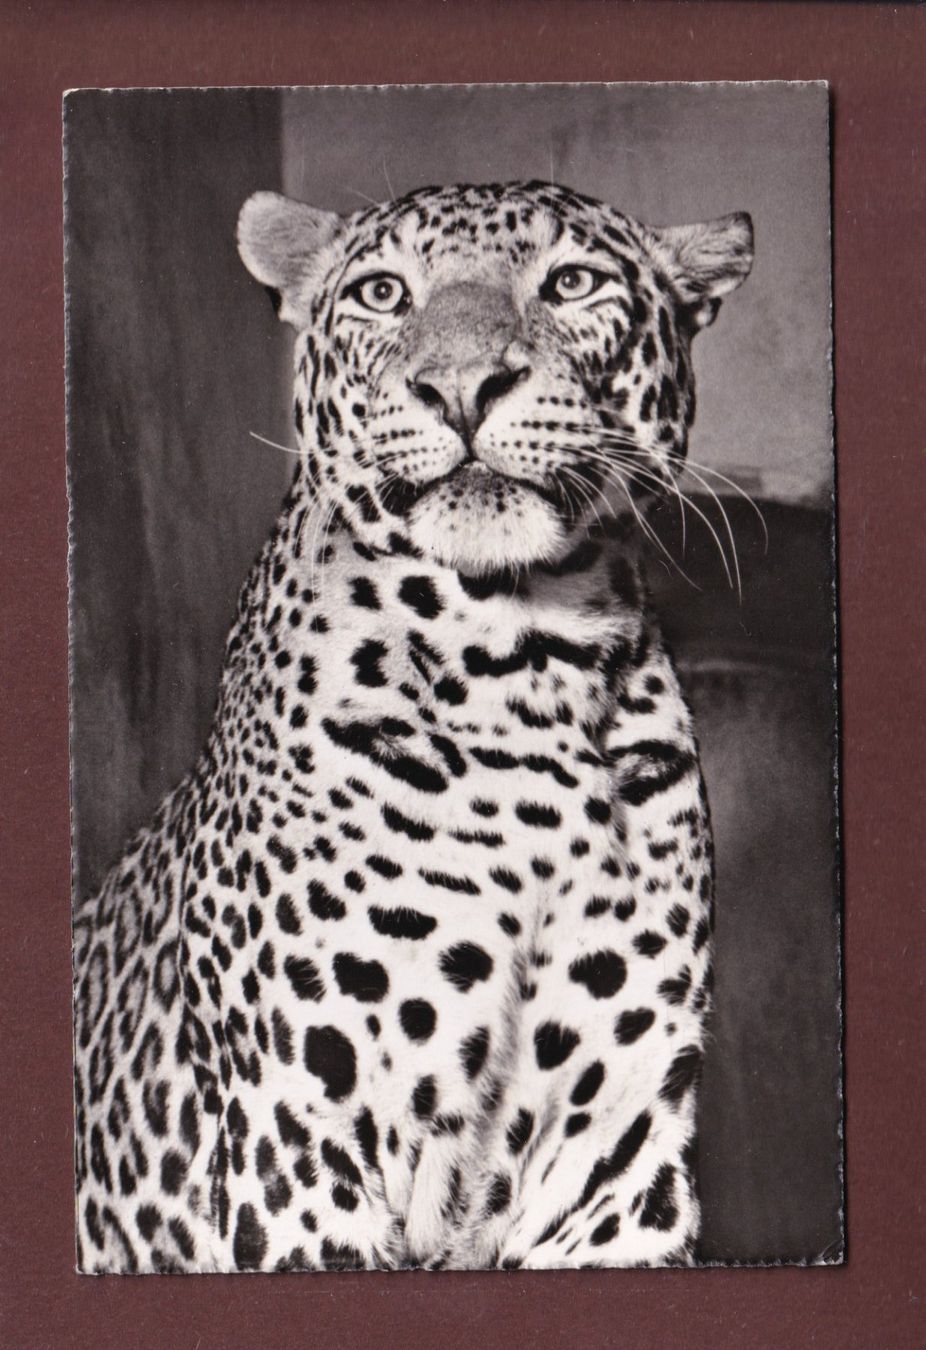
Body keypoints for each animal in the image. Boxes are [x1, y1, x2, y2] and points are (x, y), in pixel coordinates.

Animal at [72, 179, 753, 1273]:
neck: (525, 660)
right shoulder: (300, 1146)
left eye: (572, 282)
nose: (462, 388)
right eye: (384, 293)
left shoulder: (616, 1163)